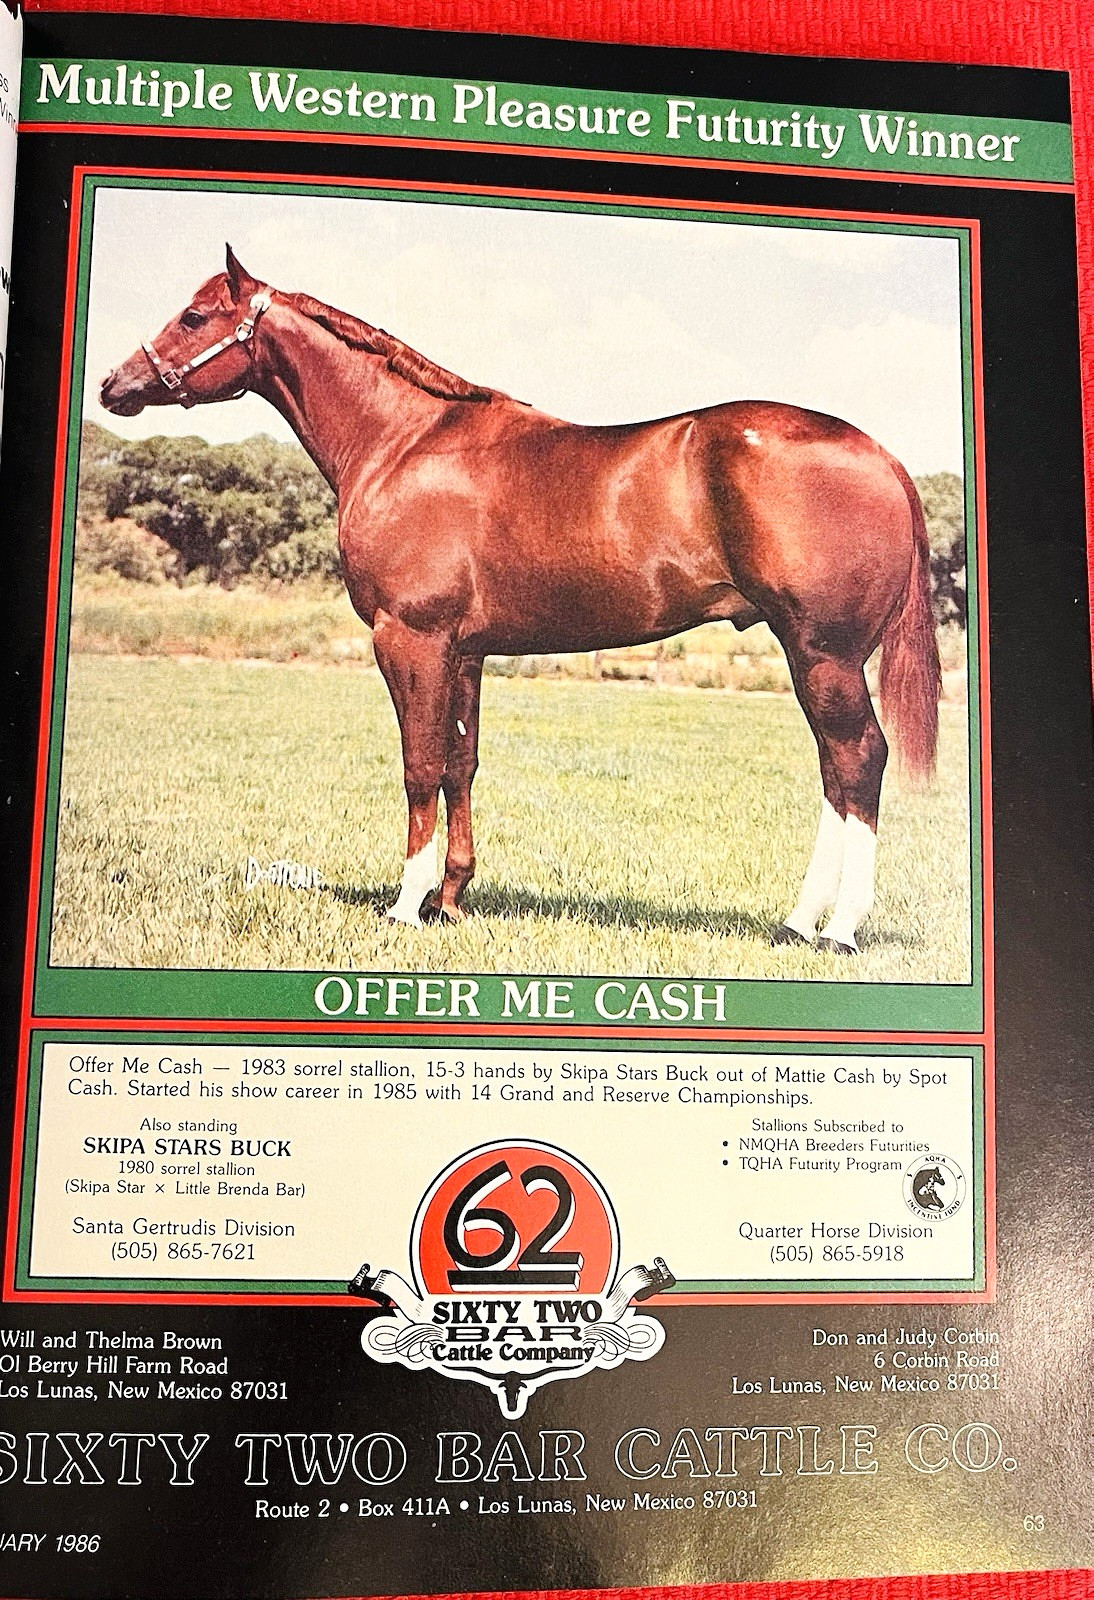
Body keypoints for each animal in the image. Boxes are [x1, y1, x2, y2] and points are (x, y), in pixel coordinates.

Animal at [100, 245, 940, 955]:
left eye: (194, 316)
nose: (115, 385)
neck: (404, 445)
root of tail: (884, 457)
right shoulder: (465, 651)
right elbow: (460, 765)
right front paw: (450, 900)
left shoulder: (410, 639)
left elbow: (419, 765)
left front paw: (406, 906)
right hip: (813, 658)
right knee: (835, 774)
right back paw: (797, 924)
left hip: (823, 654)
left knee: (858, 760)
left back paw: (839, 930)